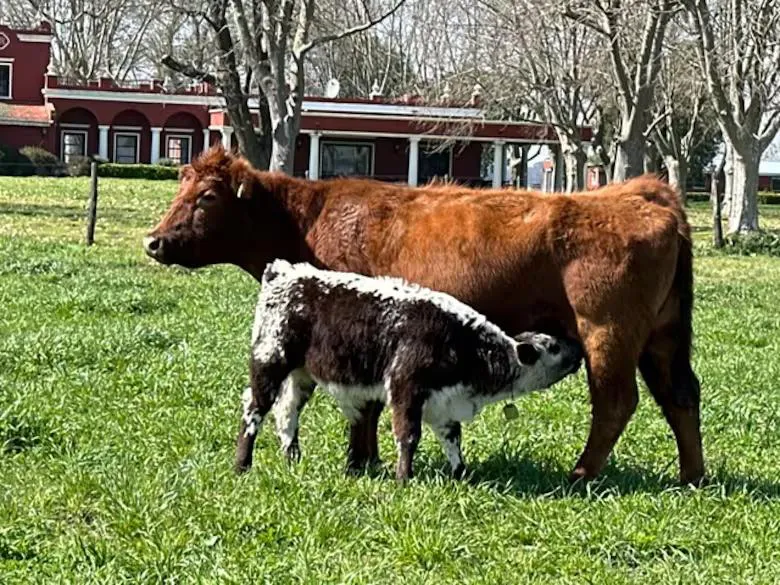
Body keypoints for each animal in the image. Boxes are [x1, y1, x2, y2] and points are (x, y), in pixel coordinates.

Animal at [235, 259, 583, 481]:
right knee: (255, 409)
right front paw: (404, 478)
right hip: (269, 360)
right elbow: (408, 436)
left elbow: (453, 440)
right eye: (553, 346)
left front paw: (461, 475)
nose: (578, 349)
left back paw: (292, 460)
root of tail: (284, 271)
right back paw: (242, 464)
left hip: (301, 376)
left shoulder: (444, 404)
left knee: (287, 413)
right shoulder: (406, 387)